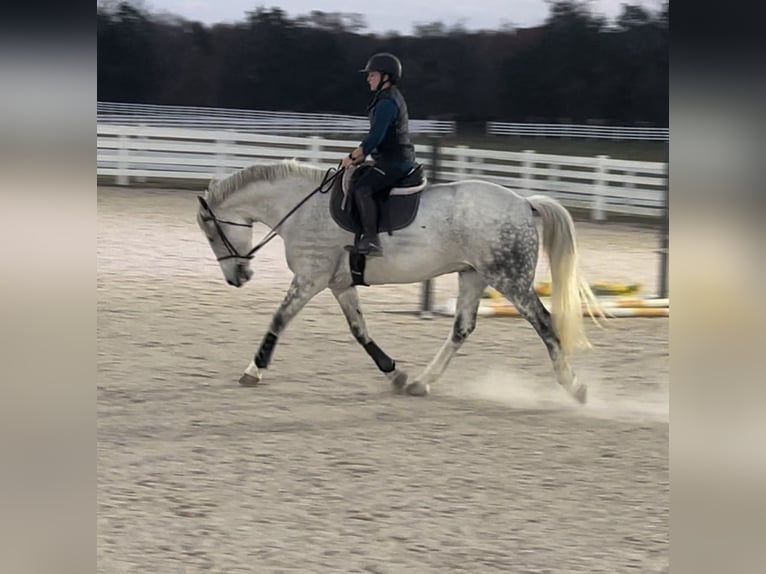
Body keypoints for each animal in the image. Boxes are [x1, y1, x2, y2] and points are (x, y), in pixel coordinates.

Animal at [195, 159, 601, 403]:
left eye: (212, 233)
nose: (238, 278)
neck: (301, 208)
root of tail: (523, 203)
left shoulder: (311, 277)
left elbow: (279, 319)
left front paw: (253, 370)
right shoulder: (340, 283)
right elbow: (360, 331)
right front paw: (396, 374)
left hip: (509, 278)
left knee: (545, 324)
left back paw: (575, 387)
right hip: (473, 275)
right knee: (461, 329)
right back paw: (421, 382)